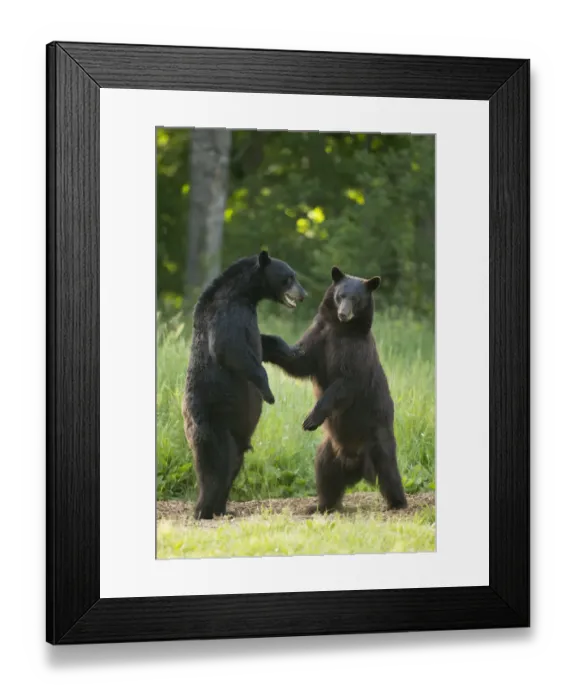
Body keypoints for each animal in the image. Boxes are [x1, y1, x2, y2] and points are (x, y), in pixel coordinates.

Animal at [182, 250, 307, 520]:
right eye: (289, 277)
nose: (304, 294)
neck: (244, 294)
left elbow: (265, 341)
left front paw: (288, 350)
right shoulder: (226, 313)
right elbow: (230, 348)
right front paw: (268, 392)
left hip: (237, 433)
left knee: (233, 465)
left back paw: (222, 510)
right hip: (213, 423)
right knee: (216, 464)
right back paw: (203, 510)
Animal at [261, 265, 407, 514]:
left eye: (356, 299)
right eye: (341, 295)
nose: (343, 313)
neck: (340, 329)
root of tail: (356, 466)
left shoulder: (355, 351)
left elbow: (343, 384)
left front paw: (310, 419)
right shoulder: (320, 337)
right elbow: (299, 360)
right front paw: (264, 342)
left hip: (379, 438)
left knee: (389, 471)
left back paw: (397, 503)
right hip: (328, 449)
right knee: (324, 473)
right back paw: (320, 505)